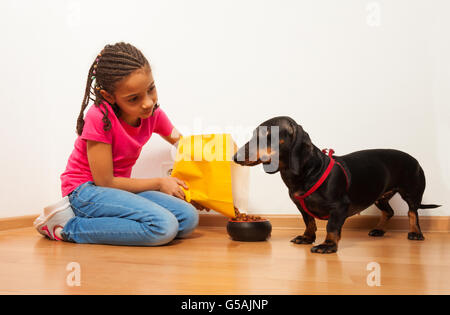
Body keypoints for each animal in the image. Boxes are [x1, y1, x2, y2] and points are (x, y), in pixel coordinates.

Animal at [234, 118, 442, 254]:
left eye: (266, 135)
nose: (235, 157)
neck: (310, 172)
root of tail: (414, 159)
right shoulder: (300, 206)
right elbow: (309, 222)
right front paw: (307, 237)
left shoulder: (339, 207)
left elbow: (332, 227)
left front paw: (328, 245)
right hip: (379, 195)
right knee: (389, 212)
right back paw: (379, 230)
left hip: (411, 193)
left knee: (412, 213)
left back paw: (415, 233)